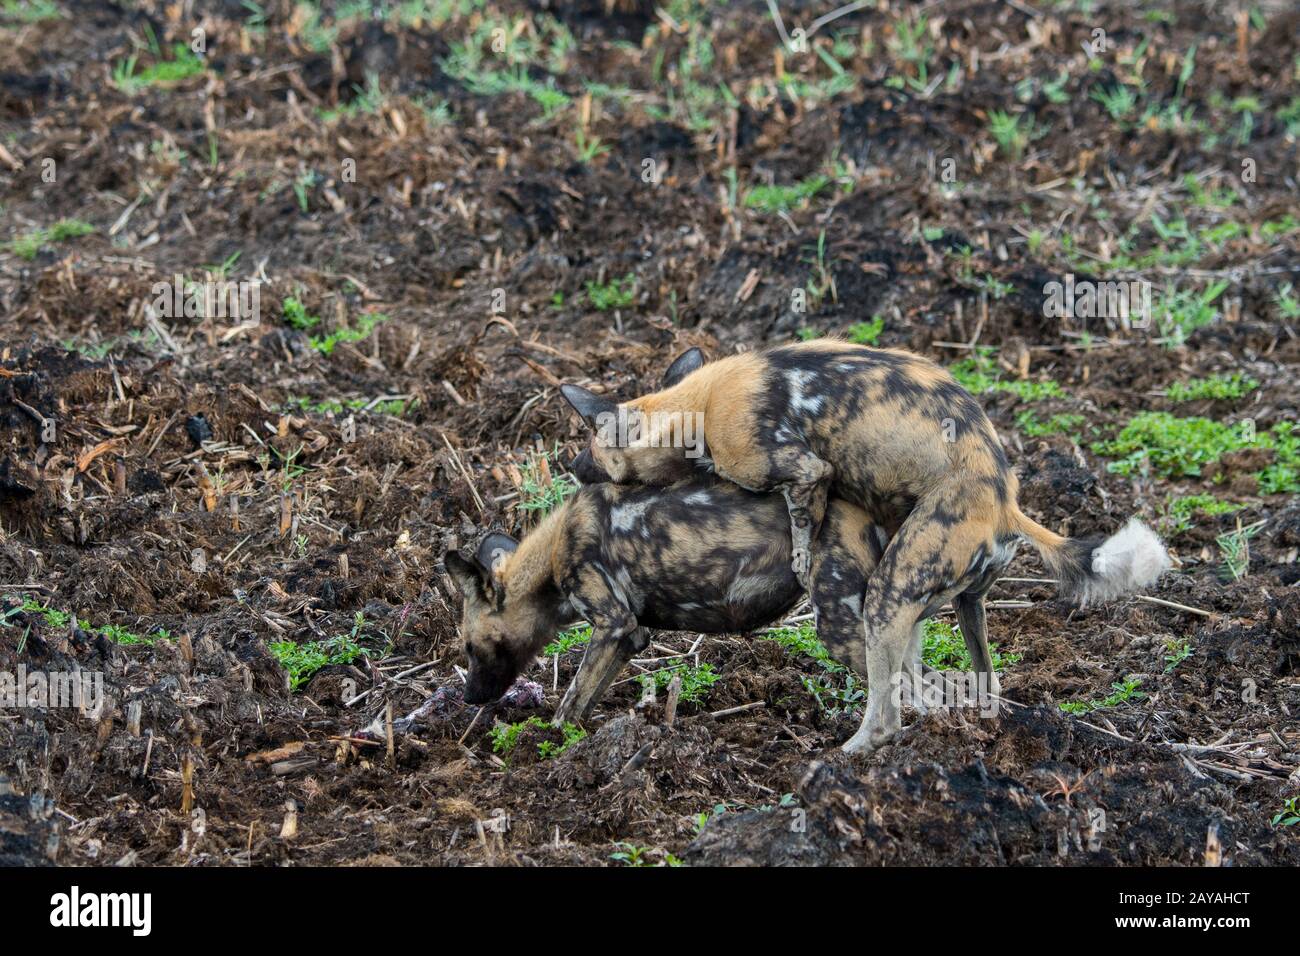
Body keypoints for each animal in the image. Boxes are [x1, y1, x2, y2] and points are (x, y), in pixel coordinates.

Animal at [564, 343, 1175, 754]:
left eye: (593, 446)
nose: (571, 465)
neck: (695, 404)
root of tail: (1005, 500)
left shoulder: (797, 468)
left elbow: (802, 521)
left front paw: (800, 555)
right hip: (959, 606)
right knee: (979, 681)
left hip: (885, 597)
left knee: (889, 710)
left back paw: (849, 755)